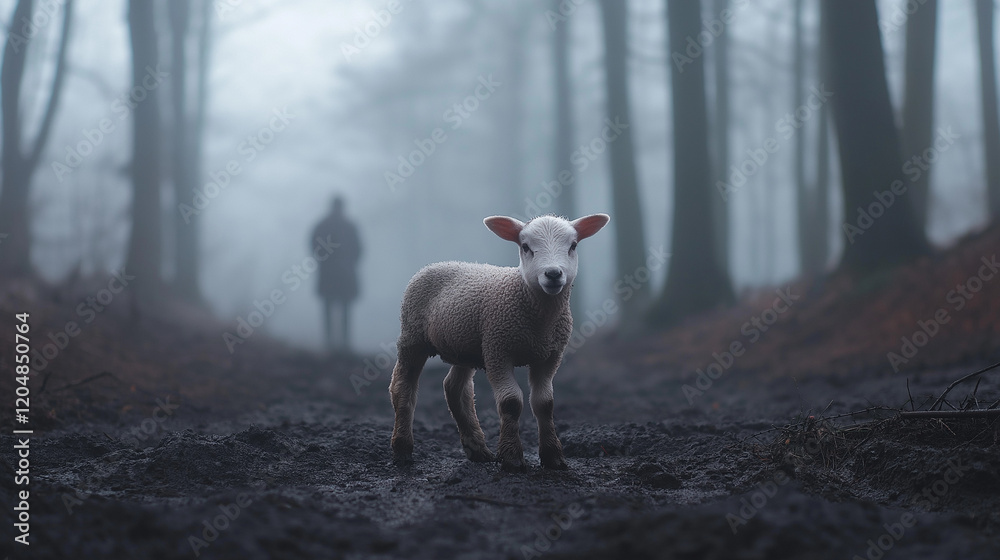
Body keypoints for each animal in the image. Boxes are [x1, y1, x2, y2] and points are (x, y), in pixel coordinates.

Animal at [389, 213, 610, 472]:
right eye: (525, 247)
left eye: (573, 246)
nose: (553, 274)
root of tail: (437, 264)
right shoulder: (498, 350)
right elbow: (511, 402)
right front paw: (512, 457)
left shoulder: (550, 356)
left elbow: (544, 403)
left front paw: (553, 456)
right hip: (412, 337)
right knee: (403, 386)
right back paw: (402, 449)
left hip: (466, 346)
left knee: (454, 388)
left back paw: (477, 448)